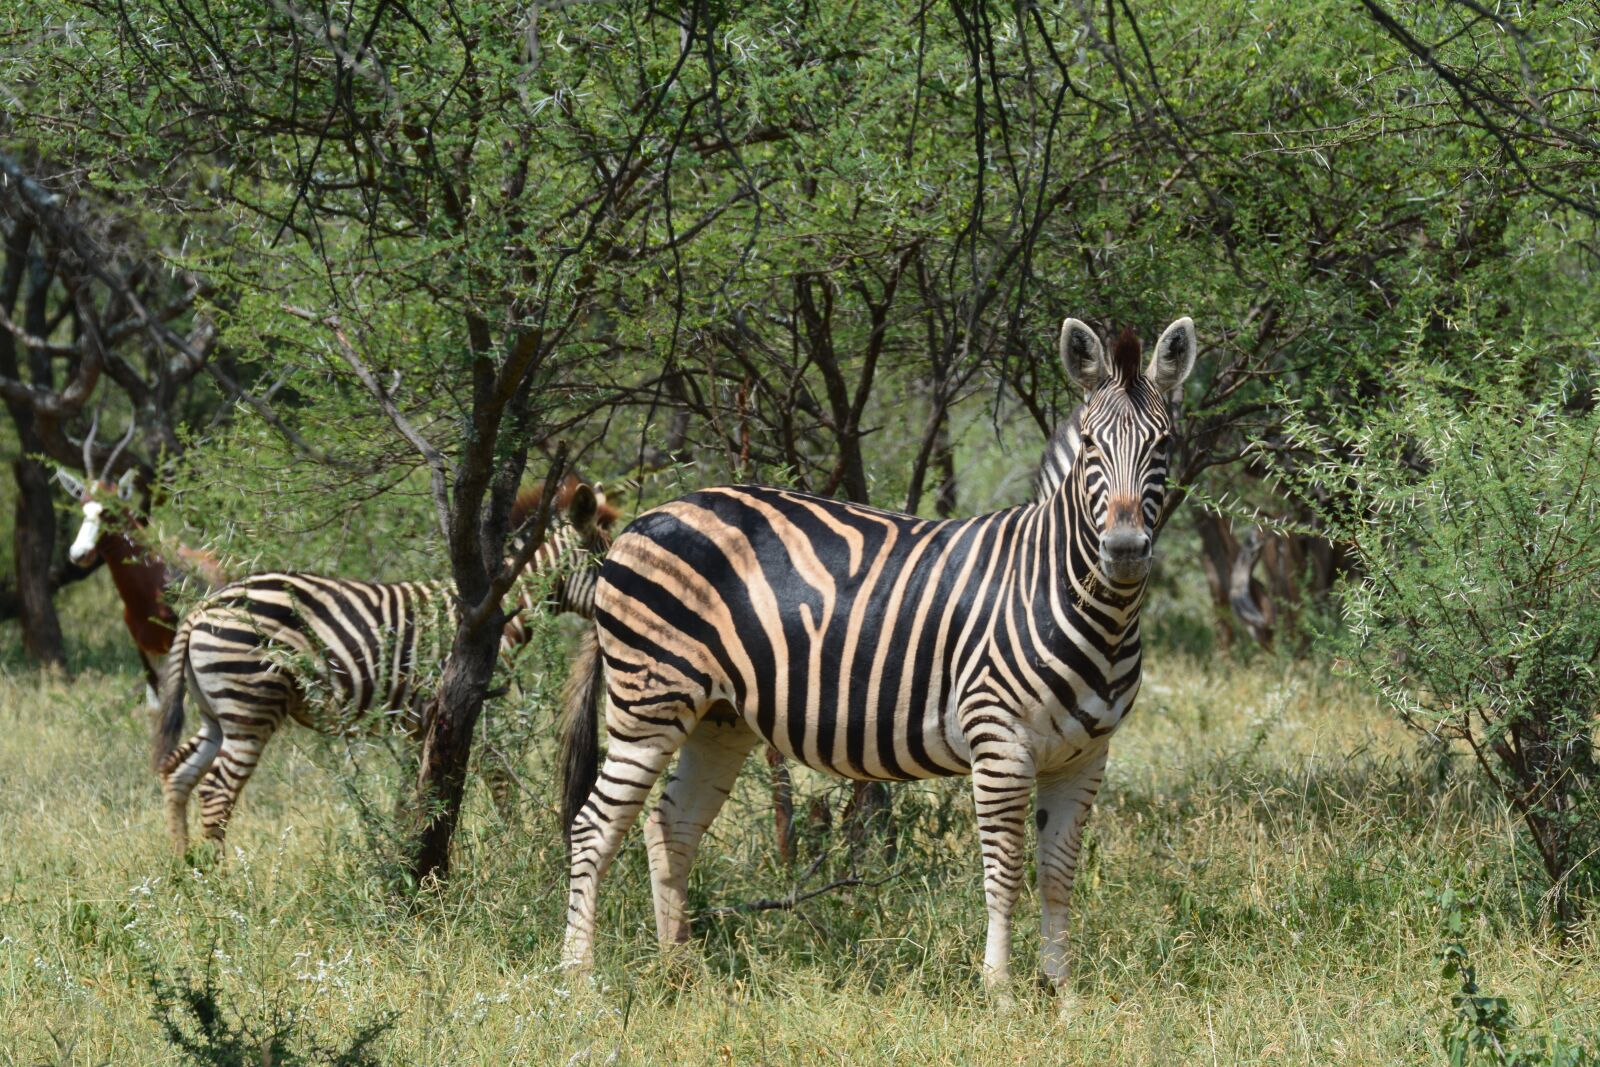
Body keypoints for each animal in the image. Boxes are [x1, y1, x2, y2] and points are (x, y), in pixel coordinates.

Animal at [153, 482, 613, 854]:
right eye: (606, 566)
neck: (498, 611)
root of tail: (204, 607)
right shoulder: (479, 709)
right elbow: (500, 782)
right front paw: (516, 847)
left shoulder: (421, 722)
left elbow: (408, 797)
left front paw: (406, 854)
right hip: (250, 703)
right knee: (215, 793)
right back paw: (221, 885)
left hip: (218, 710)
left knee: (178, 774)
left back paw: (184, 872)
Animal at [557, 316, 1198, 1004]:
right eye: (1091, 448)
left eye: (1163, 445)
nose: (1125, 551)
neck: (1068, 595)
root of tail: (641, 522)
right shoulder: (1000, 743)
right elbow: (1005, 872)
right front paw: (1000, 994)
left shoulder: (1084, 757)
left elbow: (1057, 874)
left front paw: (1064, 996)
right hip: (649, 702)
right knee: (593, 825)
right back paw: (578, 978)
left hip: (717, 718)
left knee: (670, 826)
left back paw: (681, 972)